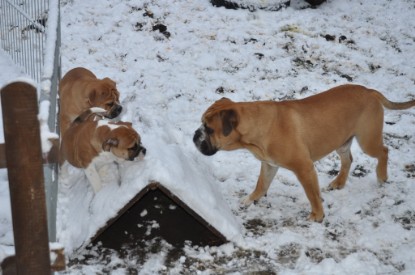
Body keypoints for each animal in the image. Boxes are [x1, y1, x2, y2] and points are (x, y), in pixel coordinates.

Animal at [193, 84, 414, 222]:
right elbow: (261, 184)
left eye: (209, 129)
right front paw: (250, 200)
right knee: (348, 159)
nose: (195, 135)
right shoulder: (269, 165)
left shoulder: (304, 168)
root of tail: (370, 91)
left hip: (367, 139)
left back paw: (382, 177)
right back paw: (338, 182)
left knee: (384, 151)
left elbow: (312, 194)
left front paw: (317, 215)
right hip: (341, 141)